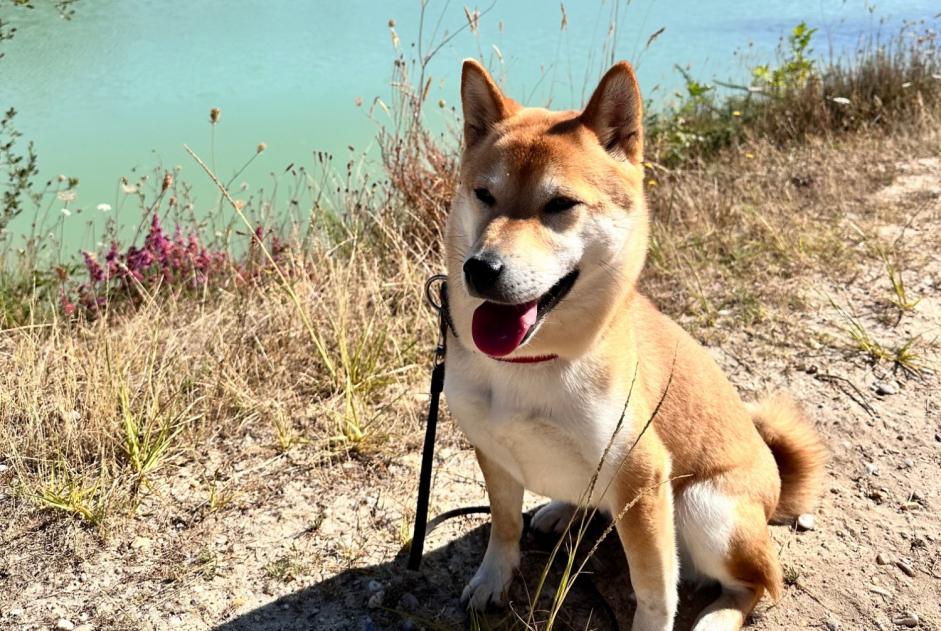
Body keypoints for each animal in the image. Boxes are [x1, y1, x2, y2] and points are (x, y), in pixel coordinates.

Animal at [438, 56, 824, 628]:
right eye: (484, 195)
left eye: (560, 204)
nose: (481, 269)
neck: (534, 362)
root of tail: (774, 482)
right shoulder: (492, 447)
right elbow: (504, 527)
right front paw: (492, 580)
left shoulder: (641, 476)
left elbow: (656, 588)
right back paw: (561, 509)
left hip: (704, 506)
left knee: (759, 585)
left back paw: (717, 617)